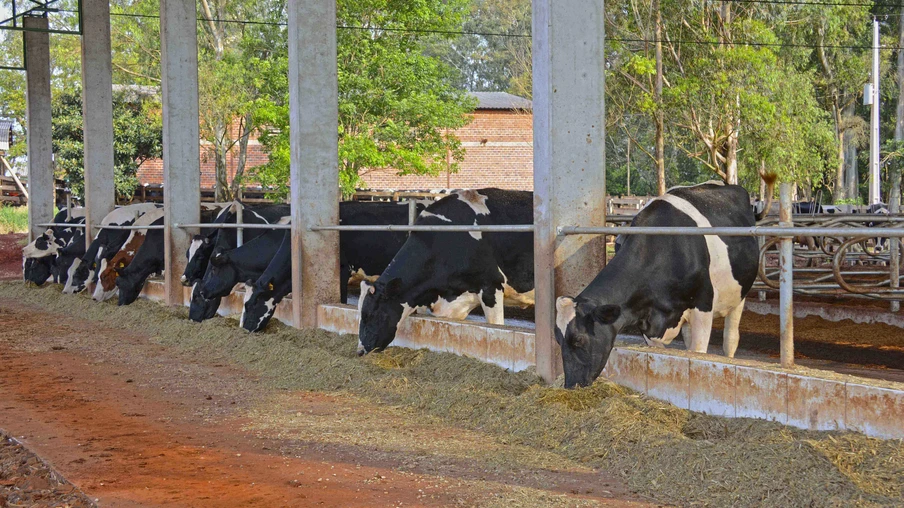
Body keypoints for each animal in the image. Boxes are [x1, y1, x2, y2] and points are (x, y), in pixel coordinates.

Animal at [554, 182, 760, 388]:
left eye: (578, 340)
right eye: (557, 338)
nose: (570, 384)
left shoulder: (703, 305)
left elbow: (698, 353)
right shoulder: (647, 321)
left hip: (739, 295)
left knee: (730, 338)